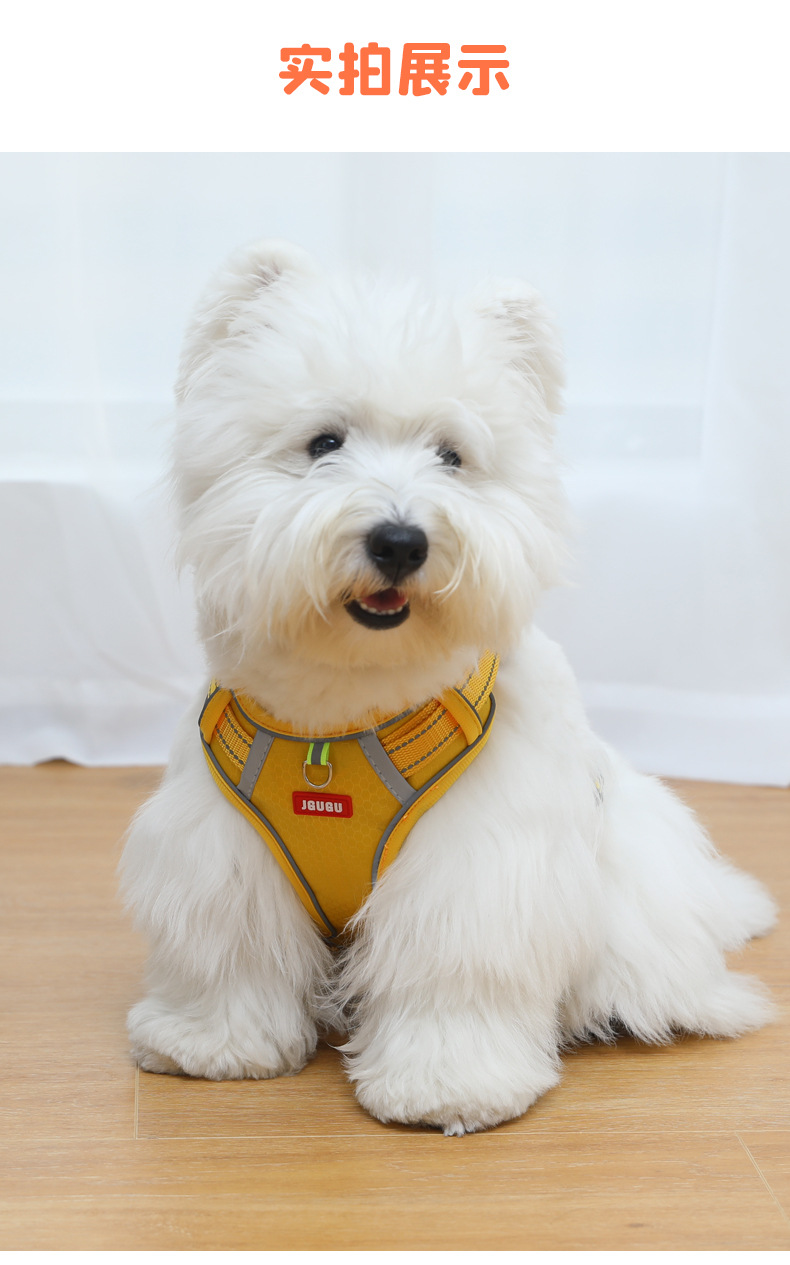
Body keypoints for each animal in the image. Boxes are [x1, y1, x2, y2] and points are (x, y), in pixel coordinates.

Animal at [120, 238, 776, 1135]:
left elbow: (452, 973)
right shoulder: (222, 850)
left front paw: (446, 1082)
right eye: (324, 441)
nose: (400, 540)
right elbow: (230, 948)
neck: (342, 719)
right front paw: (210, 1043)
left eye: (452, 455)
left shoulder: (476, 869)